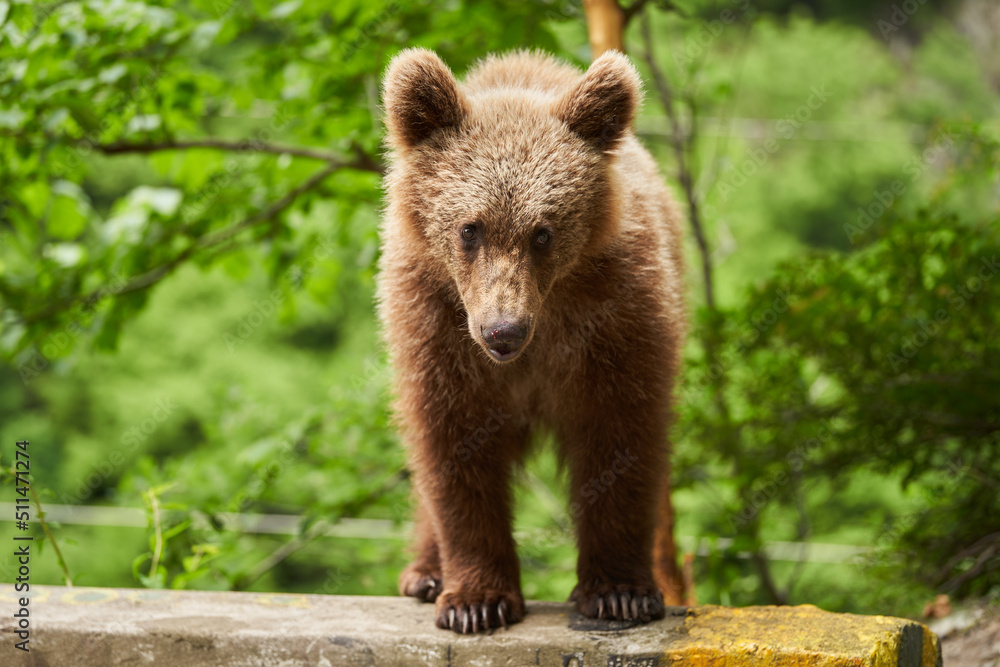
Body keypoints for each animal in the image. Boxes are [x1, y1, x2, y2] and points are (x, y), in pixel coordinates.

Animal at [377, 48, 686, 634]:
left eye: (543, 233)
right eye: (469, 228)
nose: (504, 331)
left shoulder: (615, 319)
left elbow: (619, 437)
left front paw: (620, 593)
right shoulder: (437, 326)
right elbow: (453, 445)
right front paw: (475, 601)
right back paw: (425, 574)